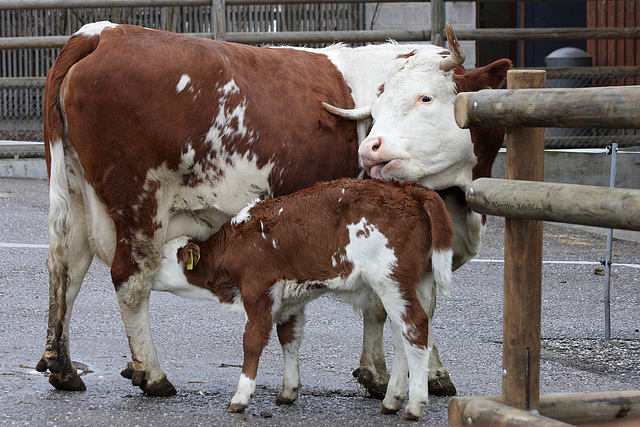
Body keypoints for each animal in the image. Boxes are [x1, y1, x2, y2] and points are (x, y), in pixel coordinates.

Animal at [153, 178, 458, 422]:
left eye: (161, 258)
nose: (144, 274)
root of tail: (406, 189)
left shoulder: (257, 291)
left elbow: (252, 342)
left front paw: (241, 397)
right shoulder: (290, 298)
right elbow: (289, 338)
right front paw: (288, 390)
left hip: (390, 279)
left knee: (415, 327)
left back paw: (414, 405)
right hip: (415, 282)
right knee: (403, 334)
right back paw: (392, 399)